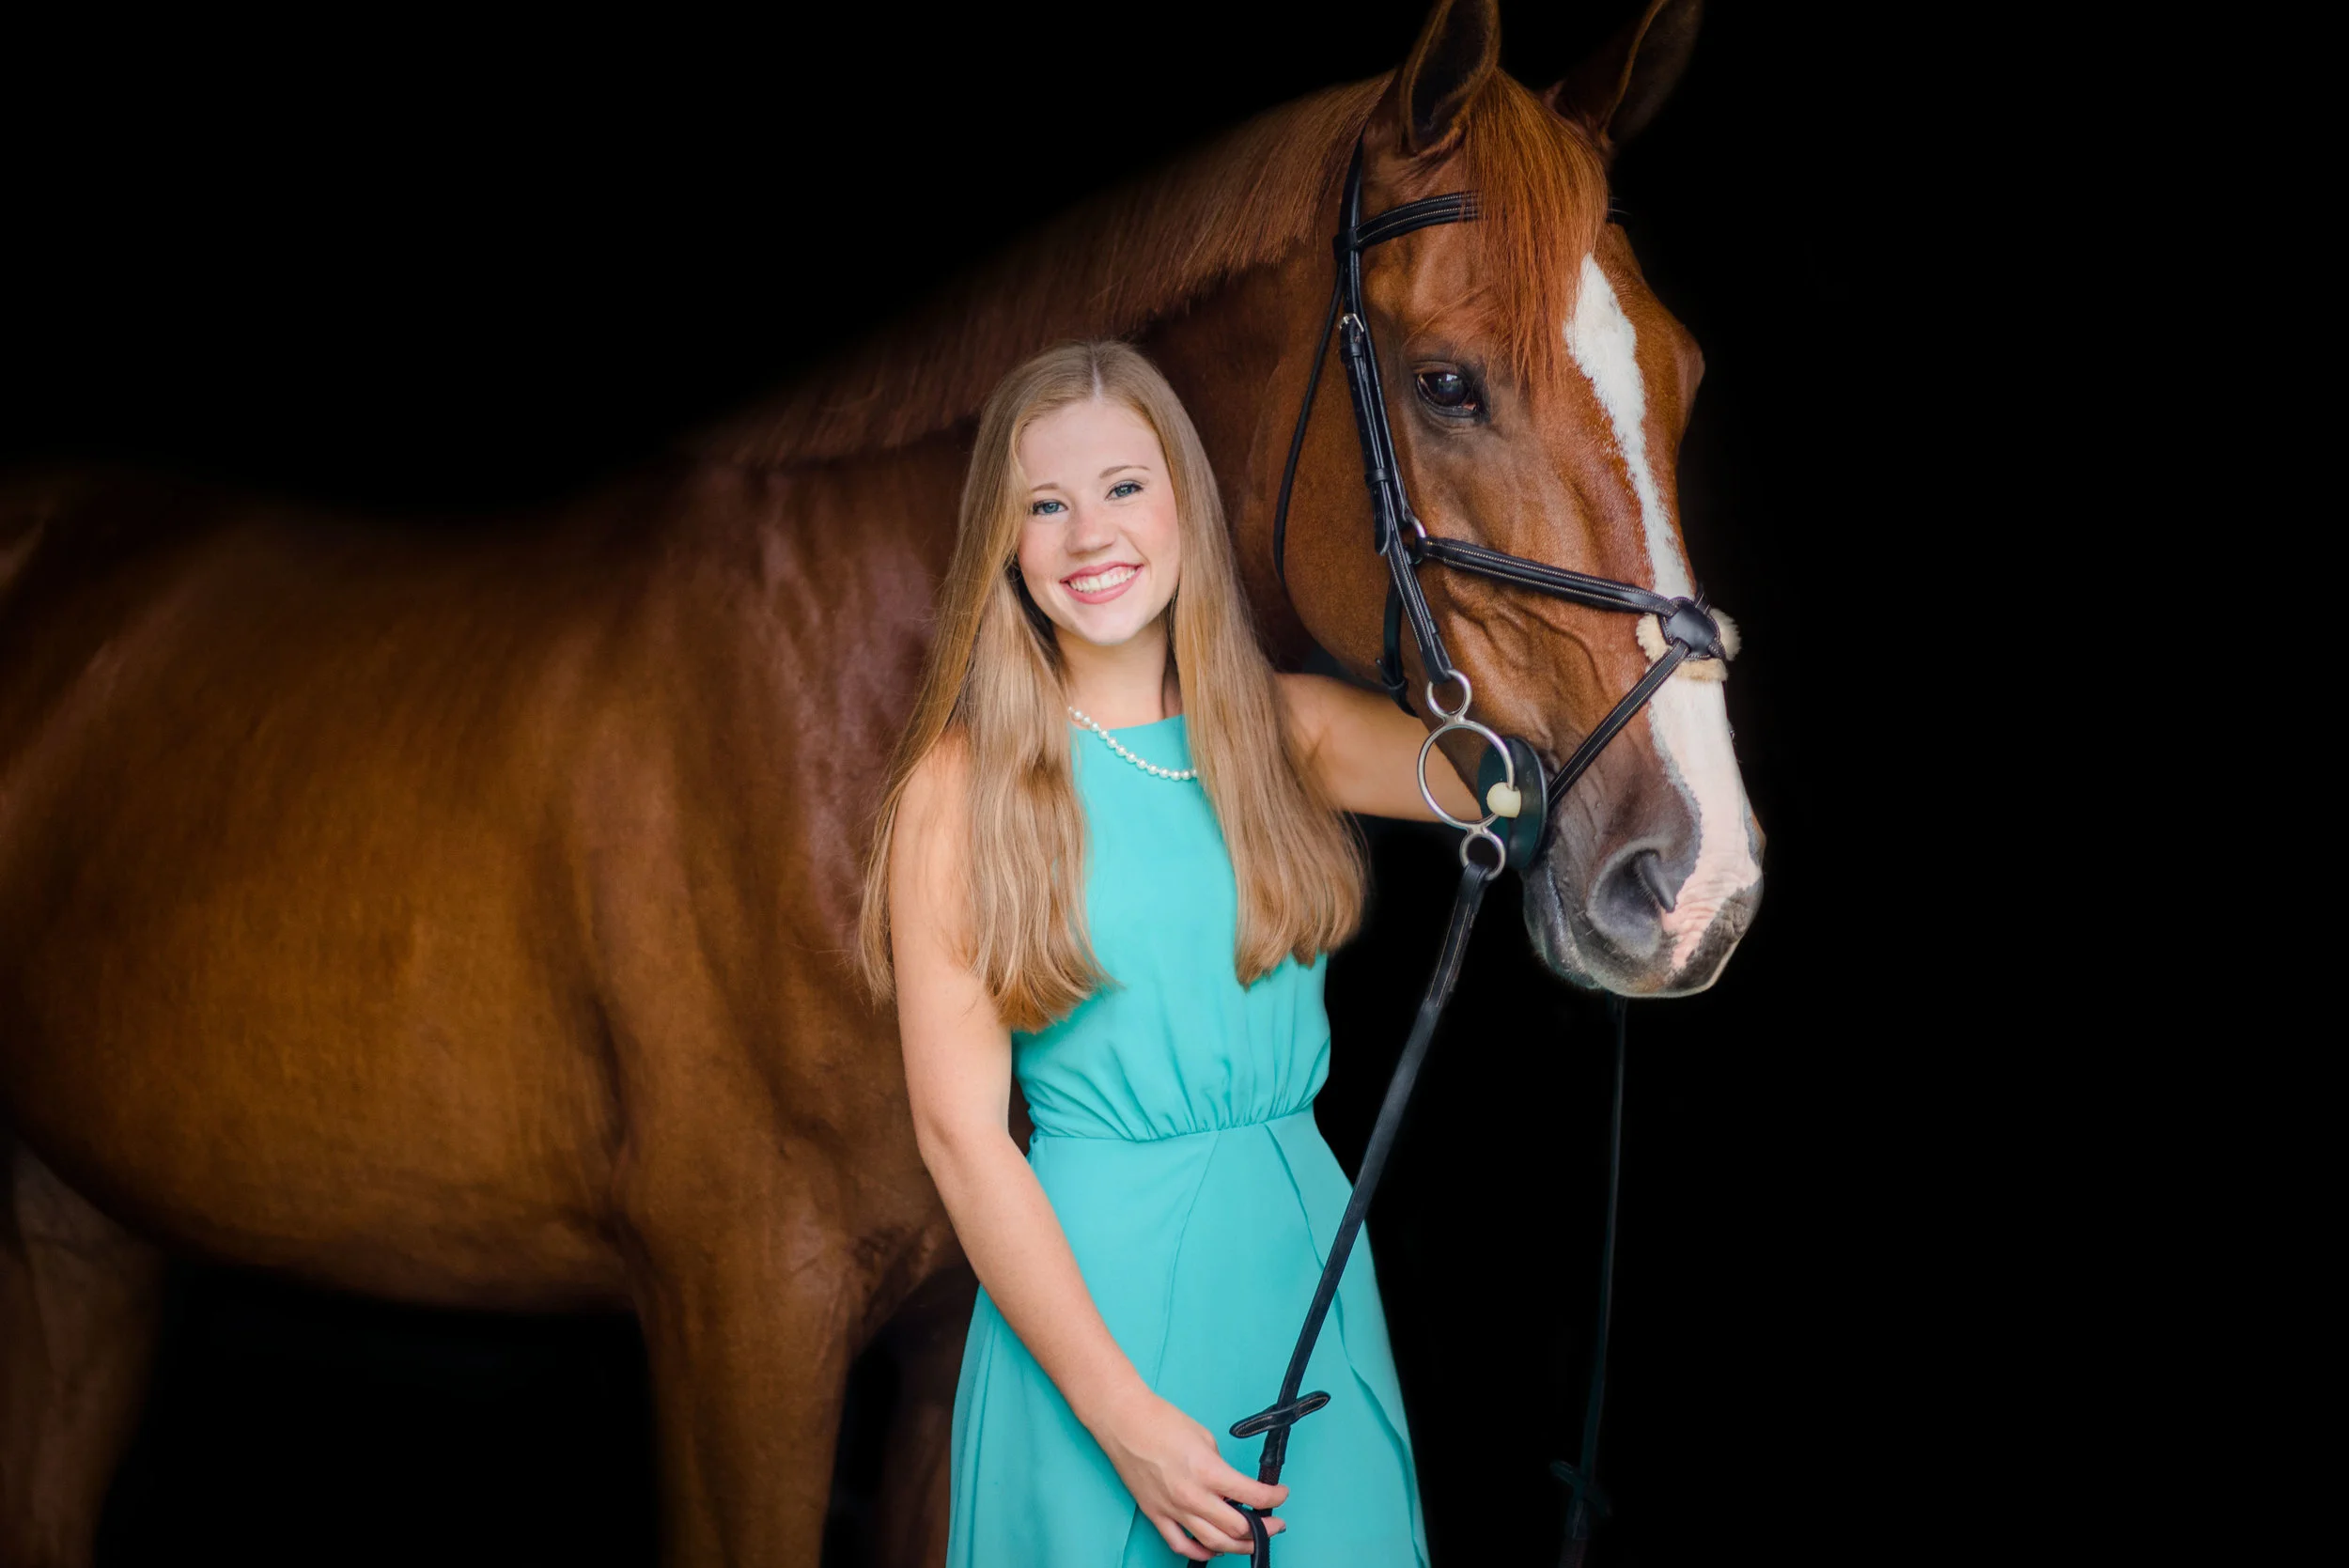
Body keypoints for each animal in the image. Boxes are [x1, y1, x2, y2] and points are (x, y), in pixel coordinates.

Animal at [0, 1, 1758, 1561]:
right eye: (1451, 381)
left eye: (1683, 375)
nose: (1696, 887)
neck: (868, 721)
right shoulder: (745, 1321)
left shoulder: (962, 1321)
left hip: (84, 1232)